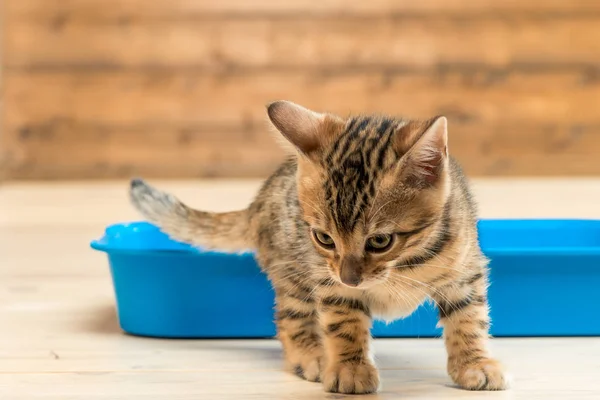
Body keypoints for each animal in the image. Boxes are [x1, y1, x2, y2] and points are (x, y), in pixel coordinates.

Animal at [129, 100, 508, 394]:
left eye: (380, 241)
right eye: (325, 238)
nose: (351, 278)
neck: (402, 264)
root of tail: (258, 201)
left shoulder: (464, 273)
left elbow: (468, 319)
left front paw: (474, 364)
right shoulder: (328, 279)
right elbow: (343, 322)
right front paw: (350, 369)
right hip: (294, 273)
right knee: (290, 319)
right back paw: (313, 356)